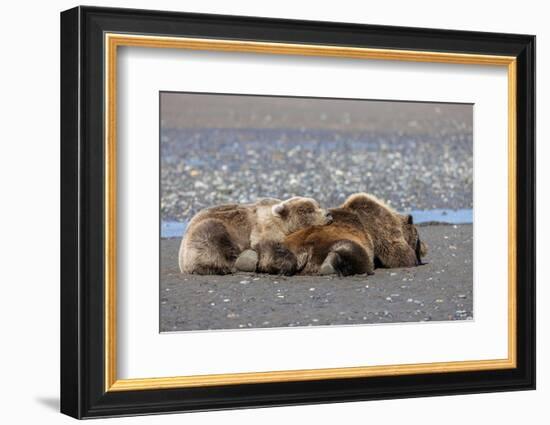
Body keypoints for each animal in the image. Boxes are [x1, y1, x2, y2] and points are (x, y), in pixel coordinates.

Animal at [180, 196, 332, 274]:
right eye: (307, 210)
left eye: (318, 205)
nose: (328, 214)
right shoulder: (264, 228)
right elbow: (269, 249)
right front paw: (283, 265)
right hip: (208, 231)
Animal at [284, 192, 432, 274]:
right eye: (419, 240)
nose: (425, 247)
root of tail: (305, 251)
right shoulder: (379, 225)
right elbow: (396, 253)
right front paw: (412, 259)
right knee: (355, 252)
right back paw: (329, 265)